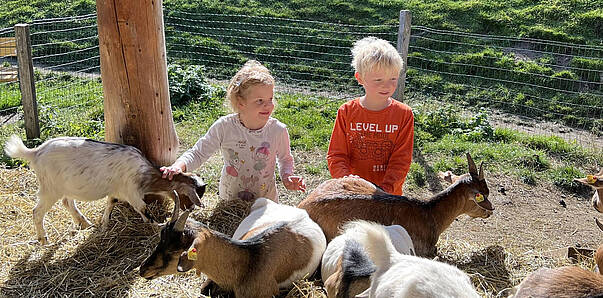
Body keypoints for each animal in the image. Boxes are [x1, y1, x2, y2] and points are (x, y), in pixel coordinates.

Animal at [3, 135, 208, 244]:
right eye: (197, 192)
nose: (192, 207)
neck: (145, 173)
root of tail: (35, 152)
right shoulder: (132, 192)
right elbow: (143, 210)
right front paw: (156, 226)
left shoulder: (117, 191)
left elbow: (111, 203)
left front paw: (103, 225)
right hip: (50, 189)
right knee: (37, 212)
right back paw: (44, 240)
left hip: (64, 186)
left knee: (68, 202)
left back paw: (85, 223)